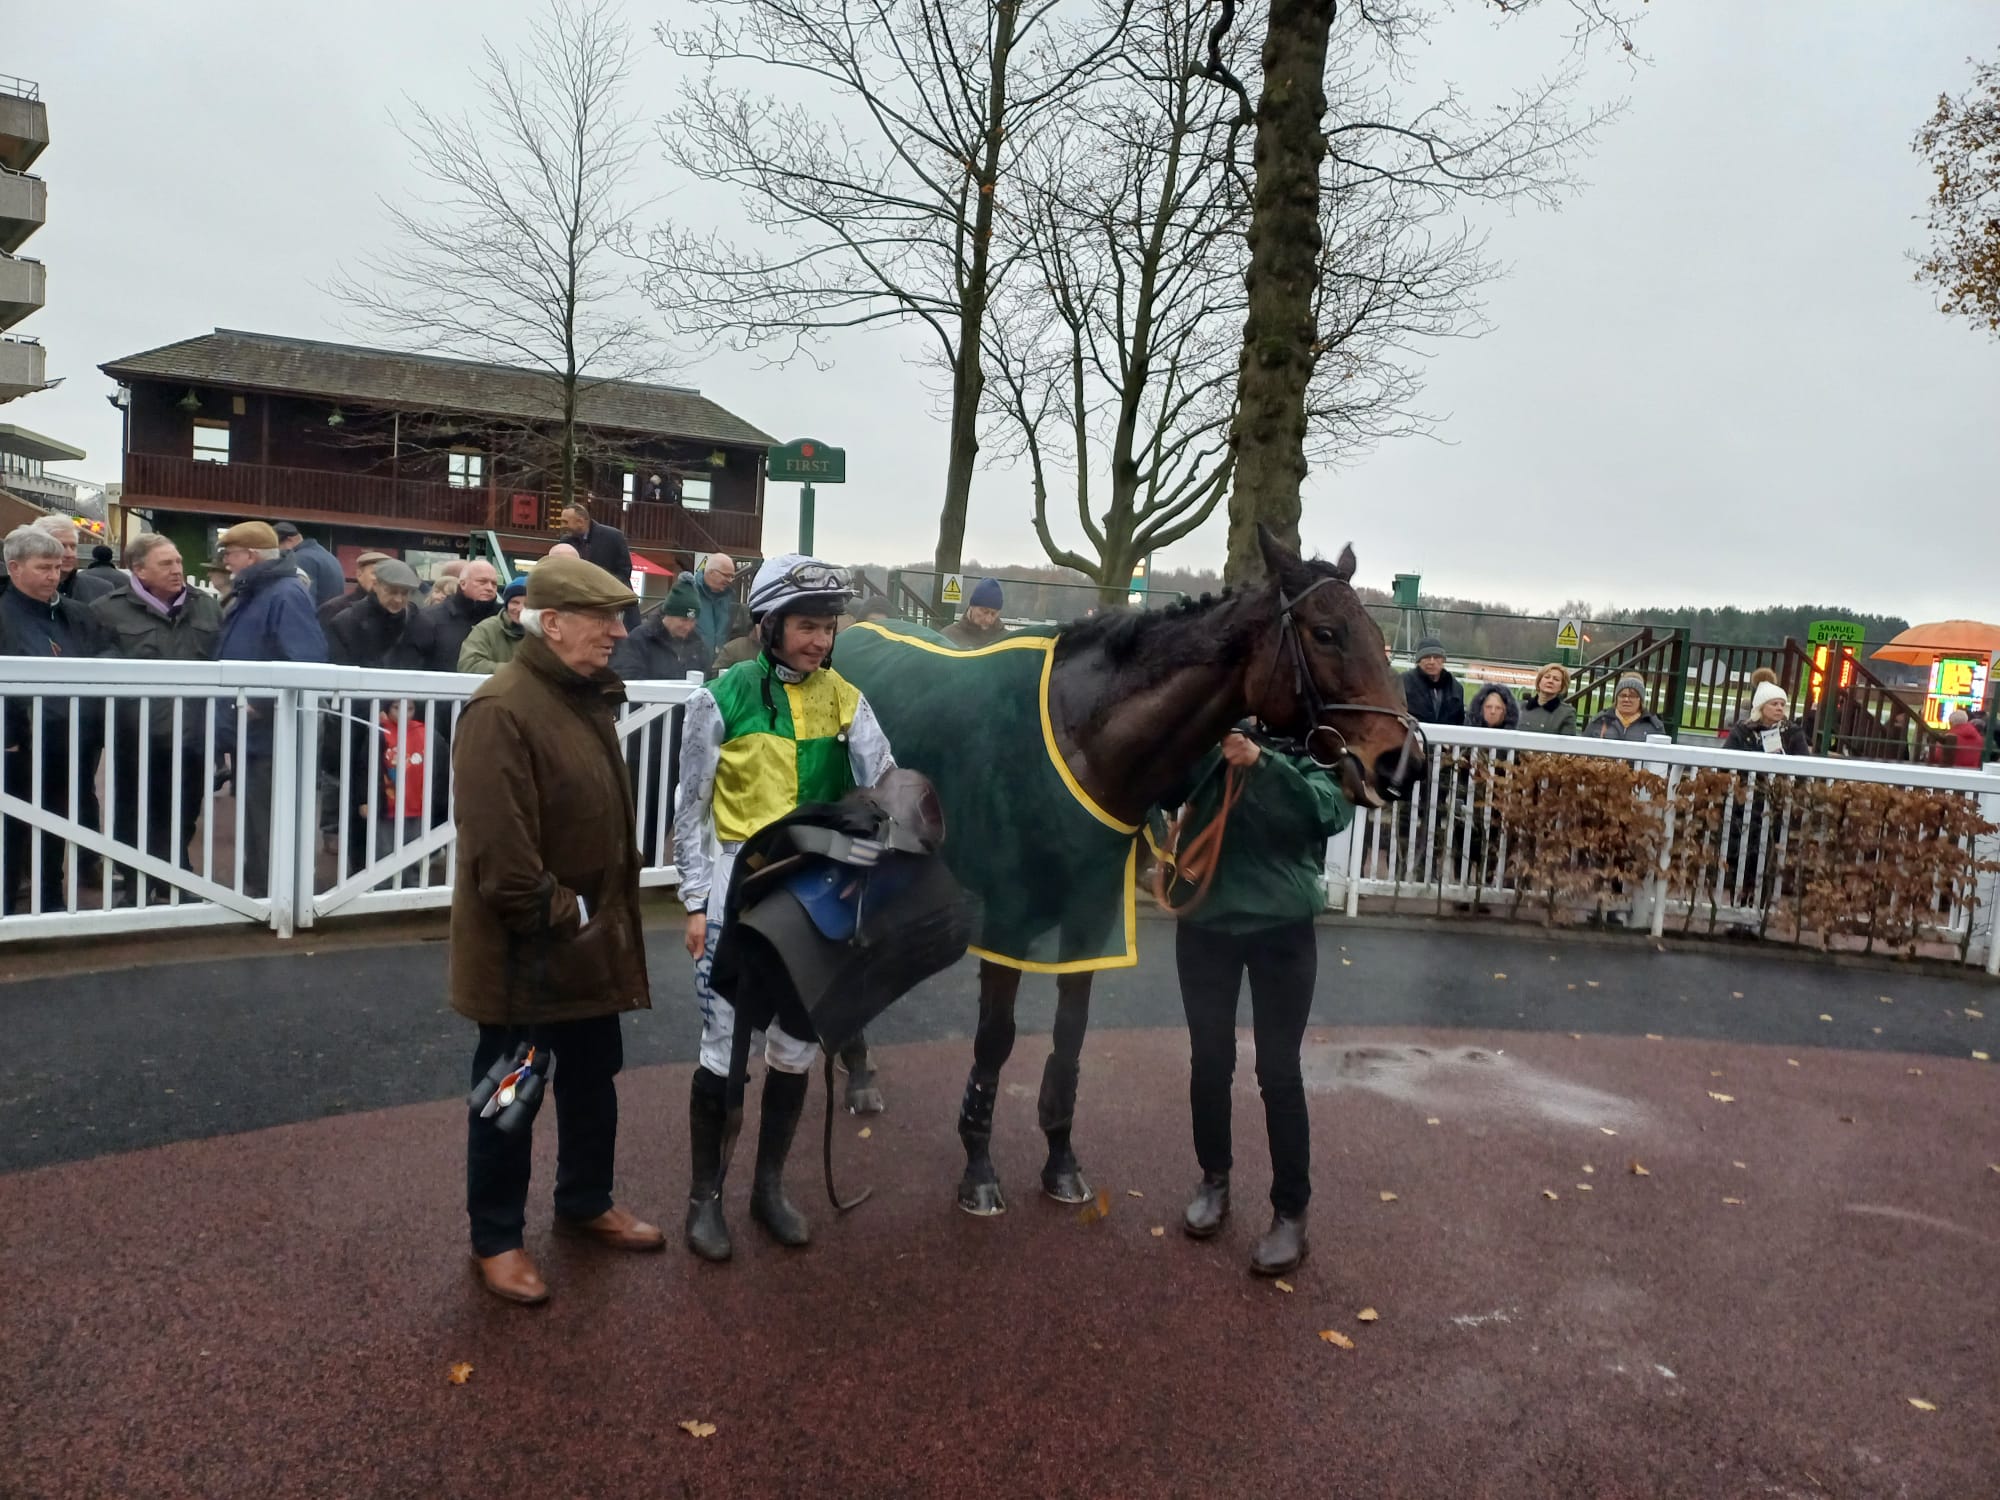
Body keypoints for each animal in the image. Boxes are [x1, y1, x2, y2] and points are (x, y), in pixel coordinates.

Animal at [844, 528, 1424, 1224]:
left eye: (1379, 633)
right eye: (1327, 632)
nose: (1404, 760)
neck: (1083, 740)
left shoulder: (1091, 912)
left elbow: (1070, 1035)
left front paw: (1061, 1162)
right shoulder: (1009, 917)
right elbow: (995, 1038)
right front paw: (978, 1169)